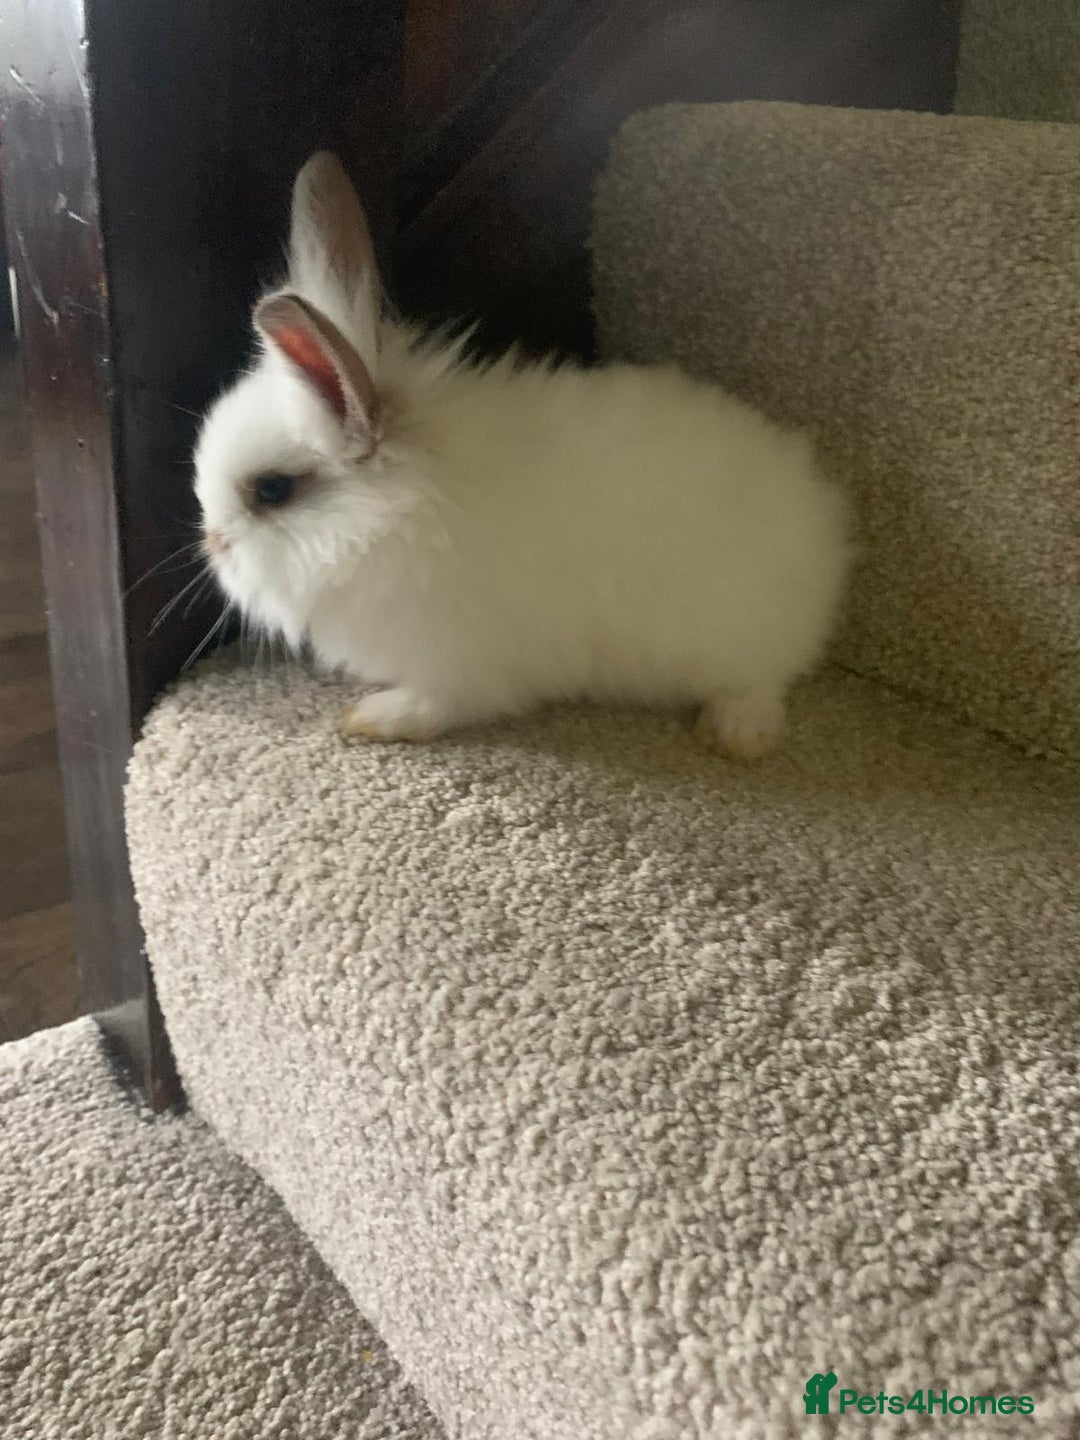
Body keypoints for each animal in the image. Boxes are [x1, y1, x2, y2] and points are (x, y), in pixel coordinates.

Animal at [194, 151, 852, 759]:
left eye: (273, 489)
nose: (214, 545)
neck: (391, 519)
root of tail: (825, 532)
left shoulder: (464, 662)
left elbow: (437, 703)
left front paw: (375, 718)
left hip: (735, 637)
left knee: (763, 681)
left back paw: (737, 736)